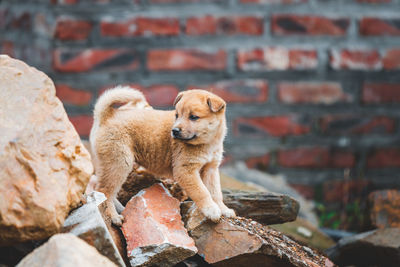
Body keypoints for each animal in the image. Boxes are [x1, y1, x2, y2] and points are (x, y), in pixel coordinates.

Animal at [90, 86, 234, 226]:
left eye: (193, 117)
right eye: (177, 115)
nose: (174, 131)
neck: (207, 143)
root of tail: (106, 116)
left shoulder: (210, 169)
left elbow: (215, 192)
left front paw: (223, 209)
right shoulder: (185, 171)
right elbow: (202, 192)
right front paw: (211, 210)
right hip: (119, 163)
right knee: (105, 191)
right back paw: (113, 217)